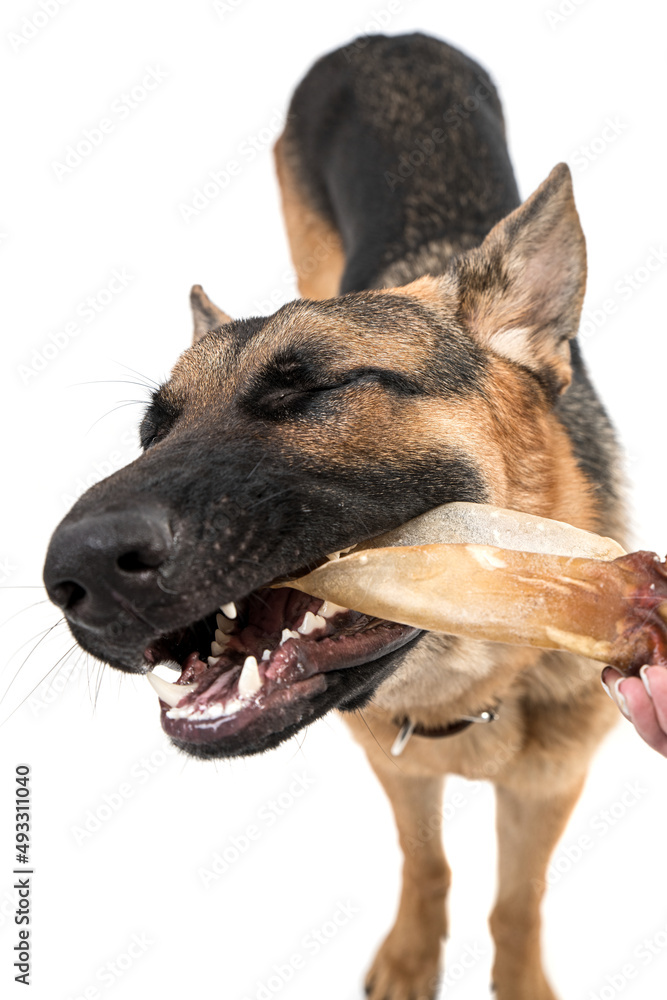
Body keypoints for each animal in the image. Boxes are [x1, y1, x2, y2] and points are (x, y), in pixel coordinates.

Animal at [44, 31, 624, 1000]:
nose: (71, 575)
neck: (471, 691)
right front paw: (413, 955)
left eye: (311, 390)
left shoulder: (547, 790)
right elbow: (425, 865)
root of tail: (383, 37)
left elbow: (517, 901)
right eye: (152, 430)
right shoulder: (398, 770)